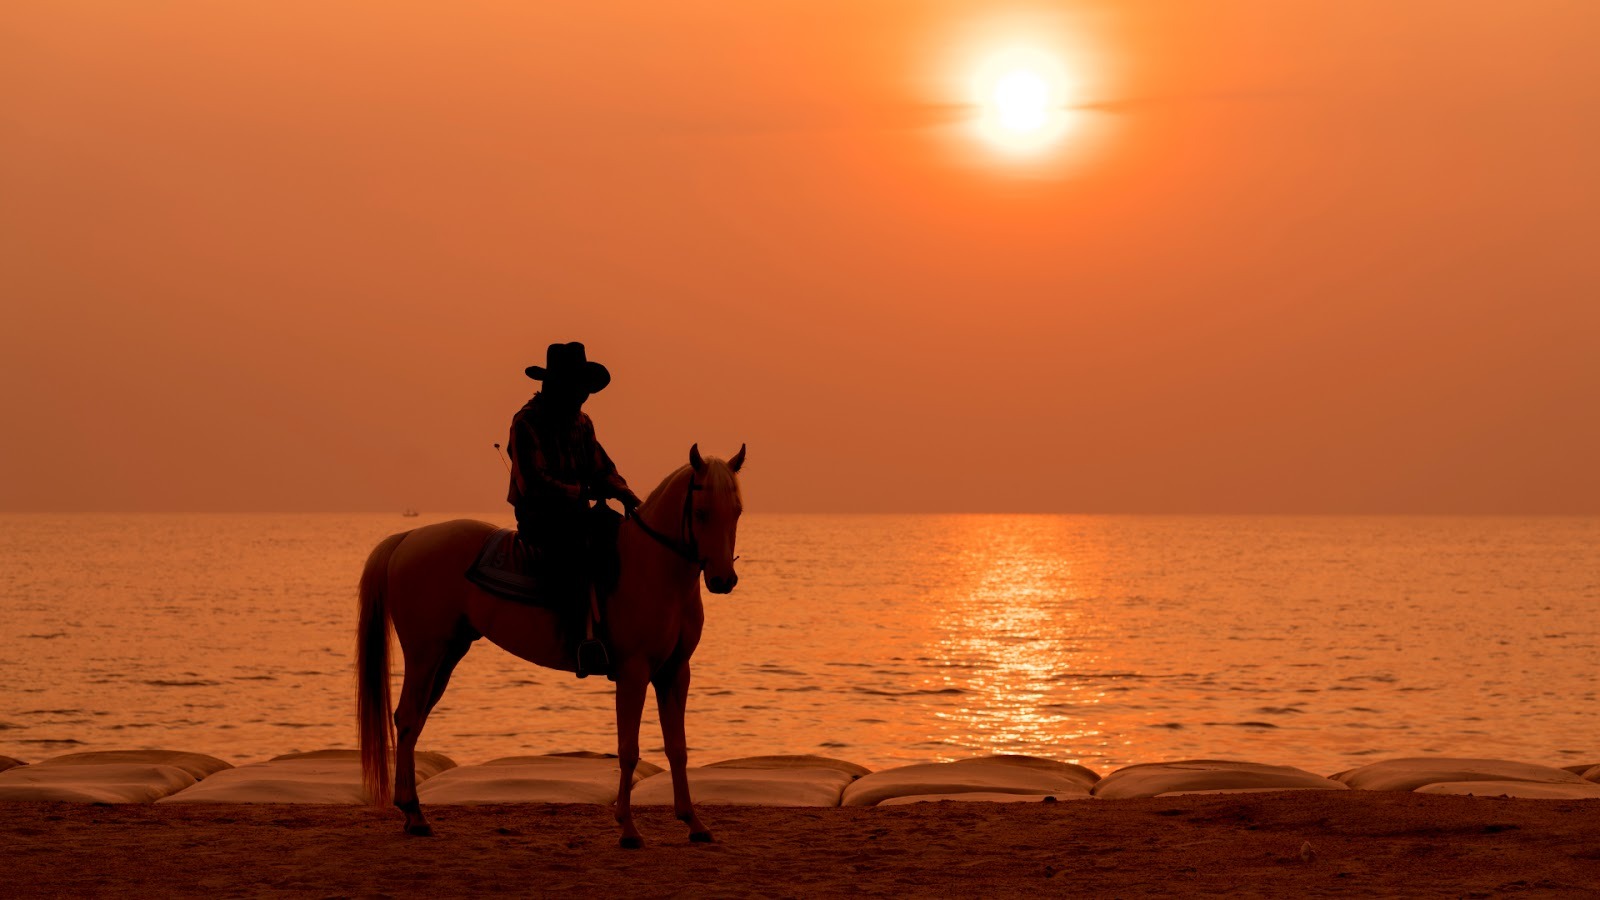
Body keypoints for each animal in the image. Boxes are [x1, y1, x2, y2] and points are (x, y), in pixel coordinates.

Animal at [355, 443, 745, 847]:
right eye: (701, 512)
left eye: (737, 510)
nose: (723, 580)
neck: (653, 567)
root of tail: (409, 537)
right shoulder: (633, 672)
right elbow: (628, 749)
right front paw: (627, 828)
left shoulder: (675, 673)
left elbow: (677, 749)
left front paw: (693, 822)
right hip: (425, 654)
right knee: (407, 718)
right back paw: (415, 815)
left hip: (446, 655)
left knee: (413, 721)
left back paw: (411, 813)